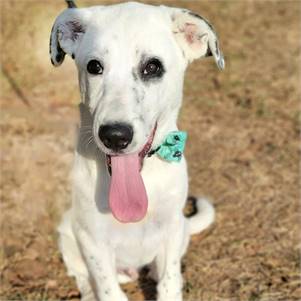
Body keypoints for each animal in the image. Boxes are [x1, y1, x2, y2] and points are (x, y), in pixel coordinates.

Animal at [49, 1, 223, 298]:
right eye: (94, 66)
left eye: (152, 67)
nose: (114, 136)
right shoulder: (92, 239)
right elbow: (108, 289)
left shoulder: (172, 226)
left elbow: (169, 282)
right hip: (68, 234)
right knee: (82, 275)